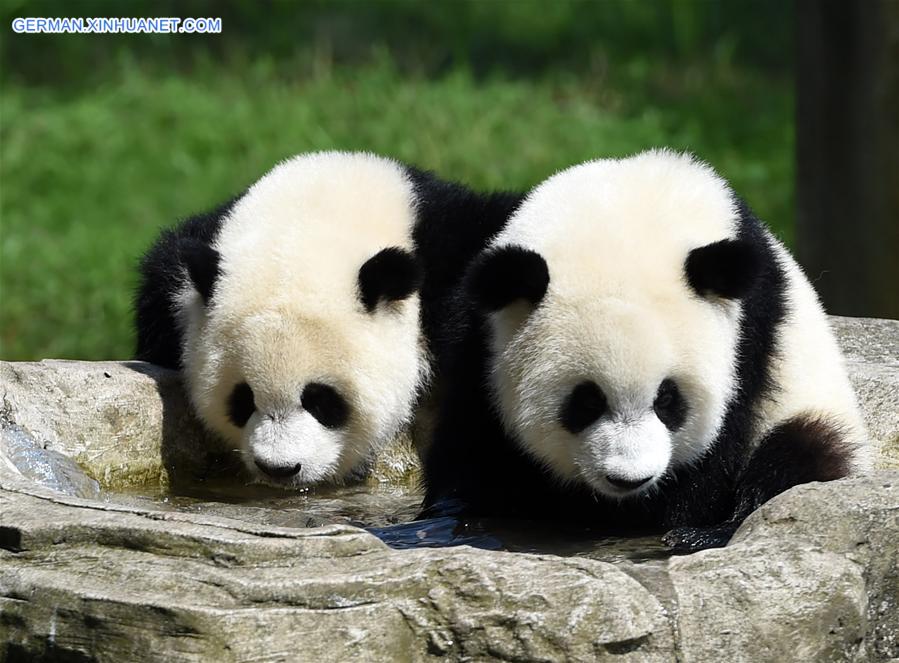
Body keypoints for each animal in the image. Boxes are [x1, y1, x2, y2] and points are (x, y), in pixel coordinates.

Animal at [424, 149, 872, 548]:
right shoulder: (481, 340)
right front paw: (456, 515)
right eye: (586, 401)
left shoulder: (749, 342)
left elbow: (713, 460)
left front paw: (671, 519)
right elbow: (472, 439)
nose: (628, 480)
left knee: (800, 454)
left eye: (668, 400)